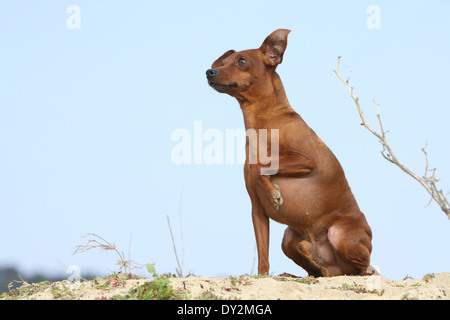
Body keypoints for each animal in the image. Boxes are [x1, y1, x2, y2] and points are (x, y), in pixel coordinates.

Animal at [206, 28, 374, 276]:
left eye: (242, 61)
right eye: (223, 62)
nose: (210, 71)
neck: (264, 122)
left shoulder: (309, 160)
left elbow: (262, 167)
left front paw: (273, 192)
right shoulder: (257, 211)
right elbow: (263, 254)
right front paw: (263, 276)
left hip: (340, 235)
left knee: (363, 269)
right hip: (289, 239)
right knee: (320, 267)